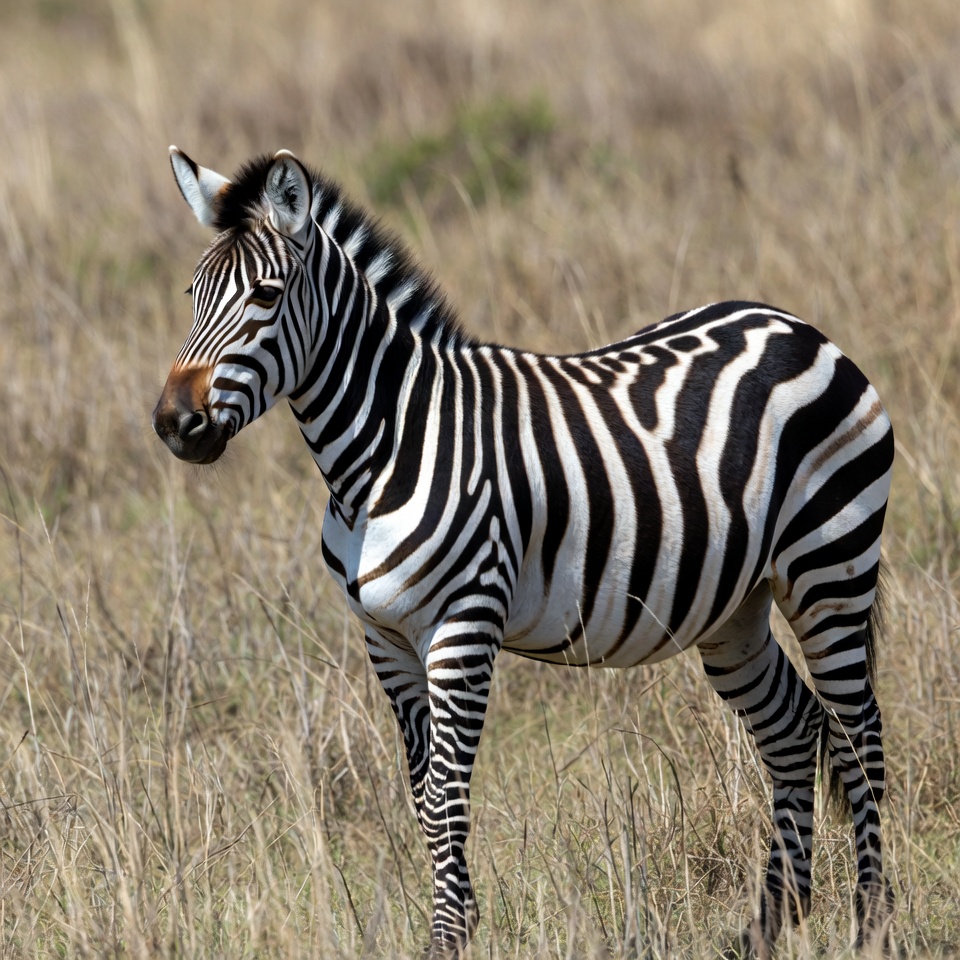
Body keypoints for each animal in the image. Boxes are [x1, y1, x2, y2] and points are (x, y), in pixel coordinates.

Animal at [153, 147, 894, 958]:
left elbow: (447, 789)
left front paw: (449, 937)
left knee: (859, 734)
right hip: (735, 608)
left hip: (829, 569)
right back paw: (769, 923)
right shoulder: (384, 637)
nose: (174, 424)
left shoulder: (464, 623)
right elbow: (422, 791)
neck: (381, 451)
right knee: (793, 729)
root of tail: (797, 326)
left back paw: (872, 920)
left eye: (265, 294)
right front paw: (460, 920)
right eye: (191, 295)